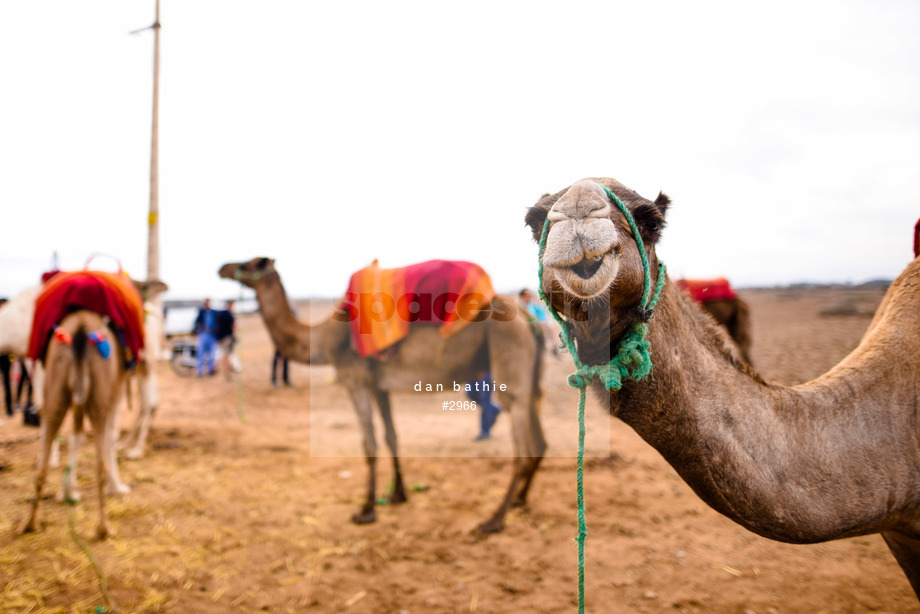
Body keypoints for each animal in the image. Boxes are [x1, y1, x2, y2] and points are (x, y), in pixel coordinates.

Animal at [218, 258, 544, 532]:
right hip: (530, 376)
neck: (325, 339)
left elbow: (369, 442)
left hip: (509, 358)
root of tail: (529, 320)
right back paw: (520, 501)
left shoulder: (355, 380)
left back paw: (495, 519)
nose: (222, 268)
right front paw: (398, 494)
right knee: (539, 438)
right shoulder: (379, 385)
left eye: (249, 263)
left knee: (522, 443)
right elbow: (391, 436)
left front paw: (366, 510)